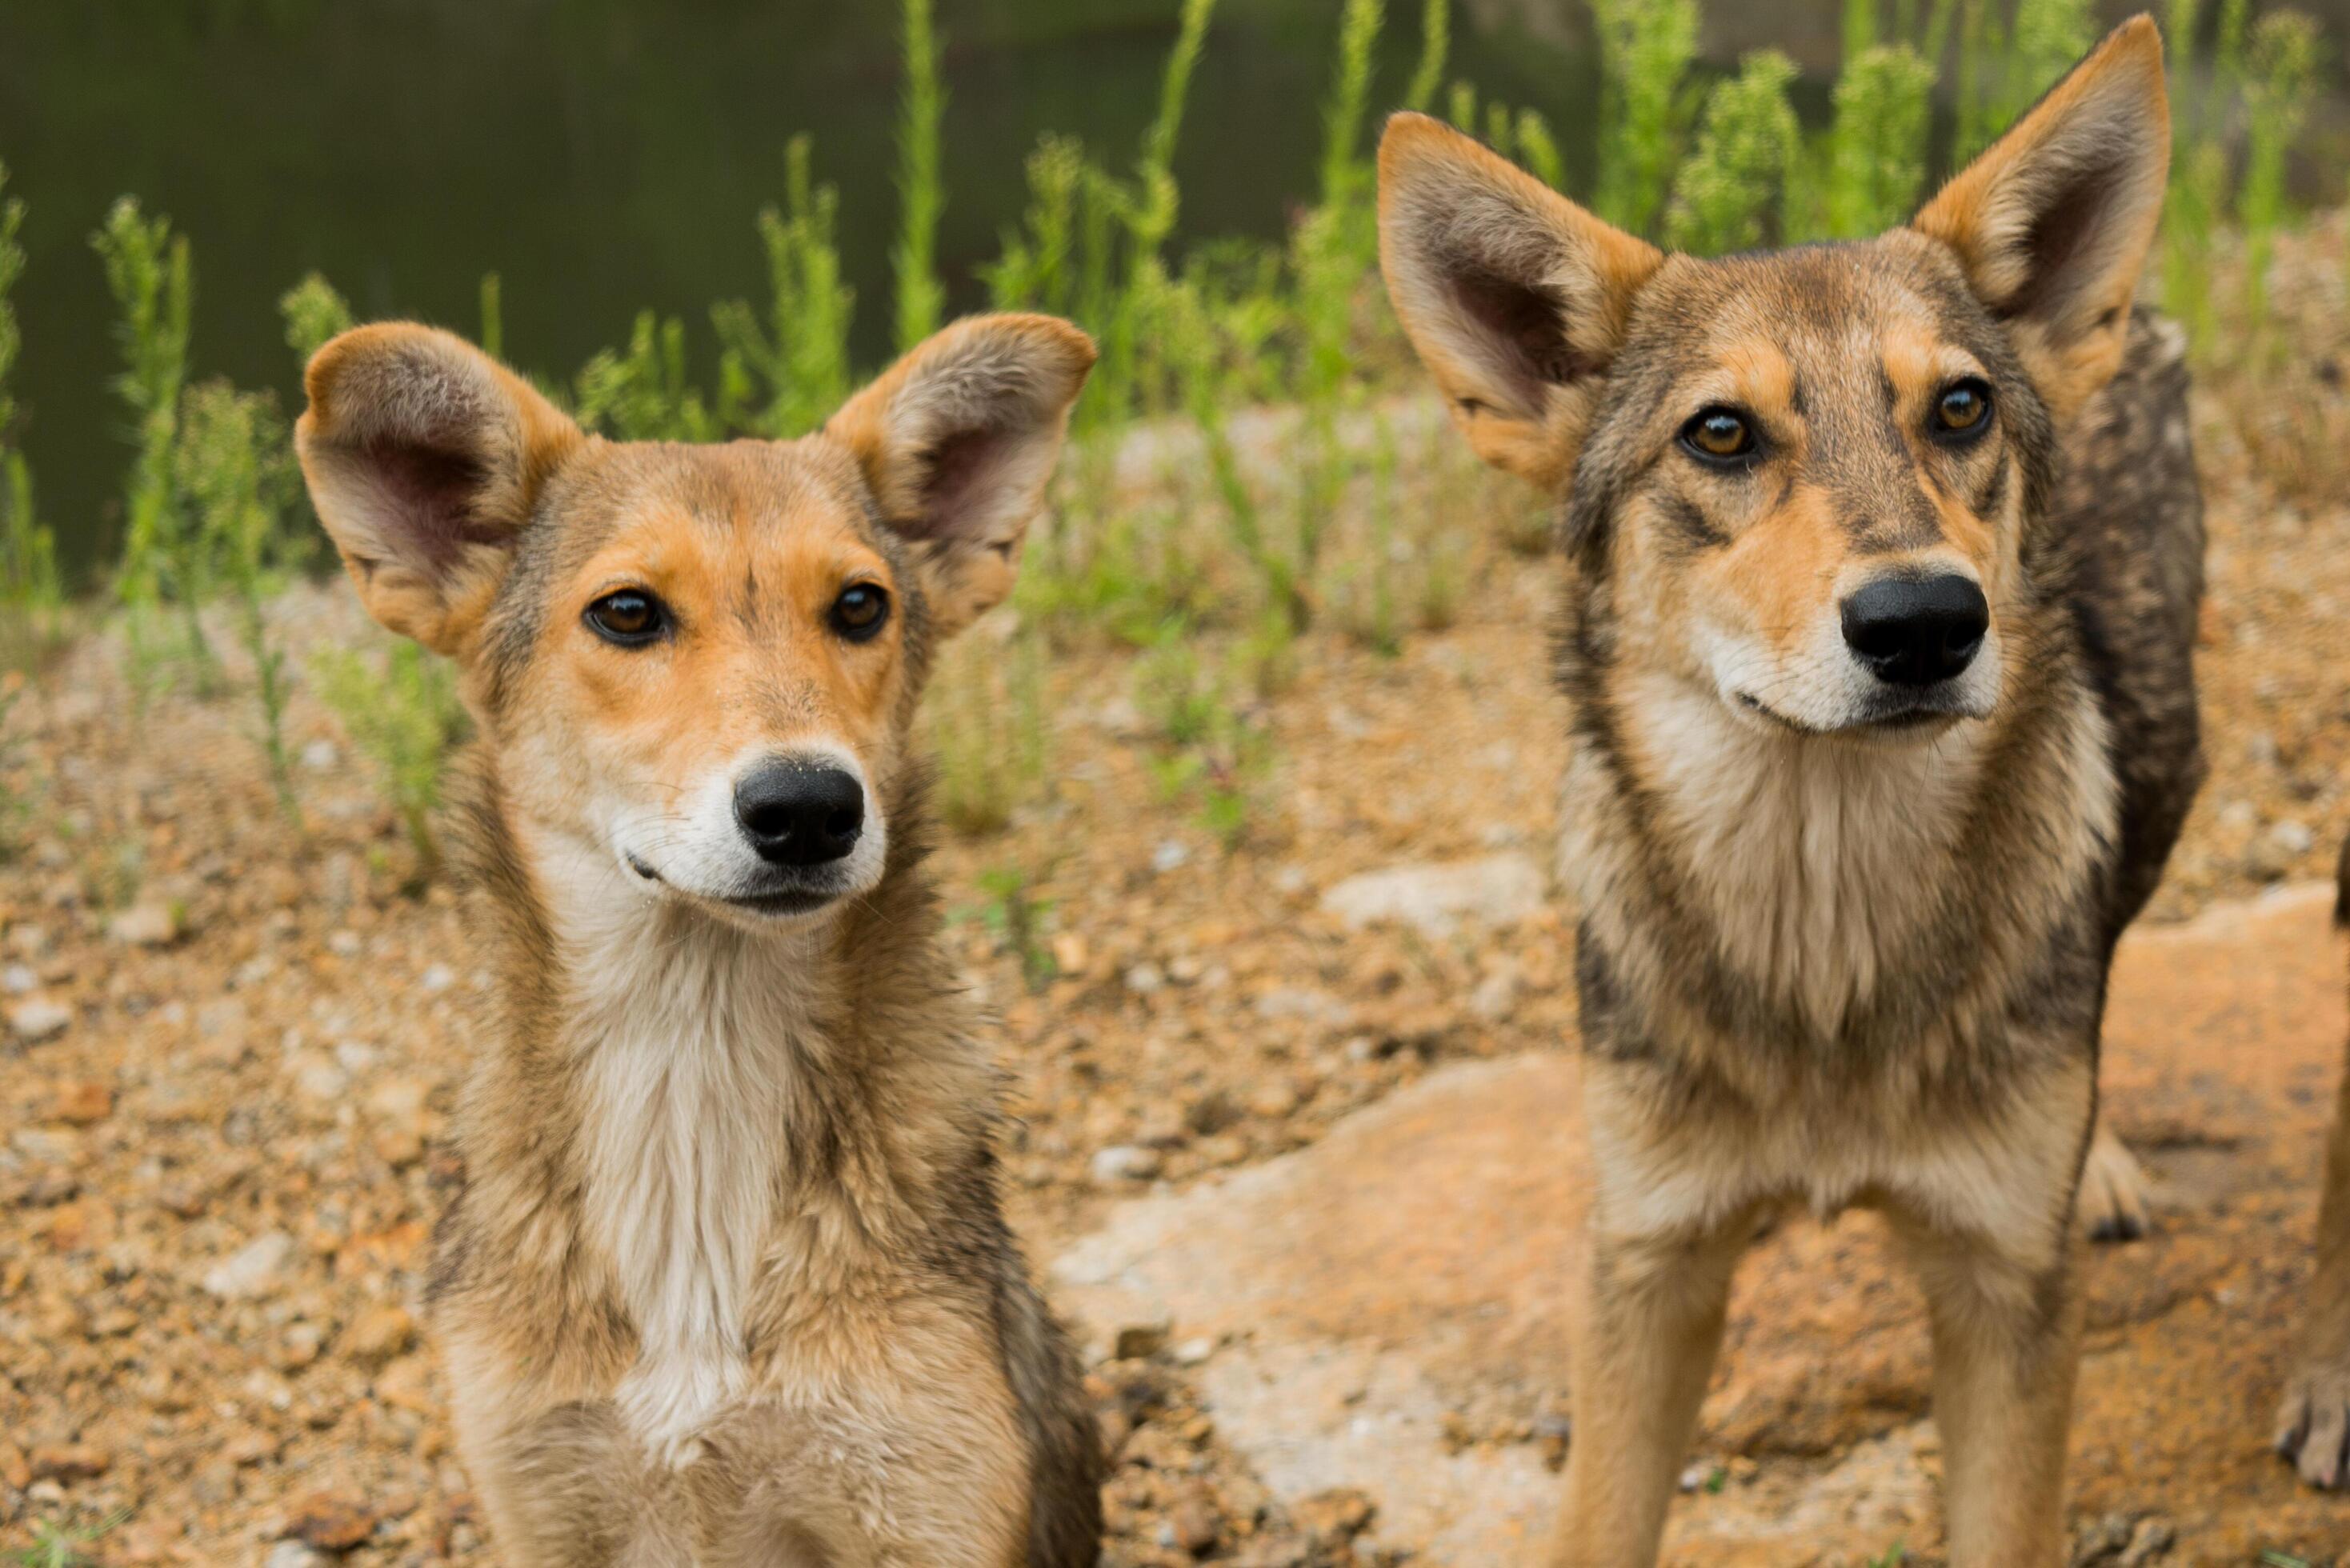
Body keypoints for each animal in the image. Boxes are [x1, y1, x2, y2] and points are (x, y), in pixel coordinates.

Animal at [1372, 18, 2200, 1561]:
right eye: (1719, 436)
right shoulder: (1650, 1263)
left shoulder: (2004, 1294)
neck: (1824, 950)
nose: (1926, 623)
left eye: (1958, 408)